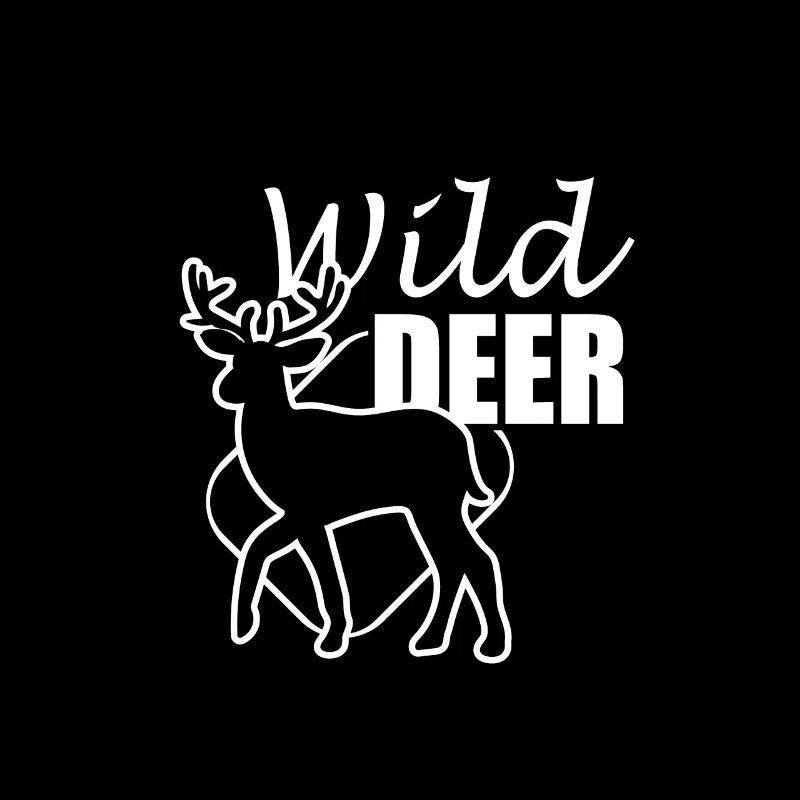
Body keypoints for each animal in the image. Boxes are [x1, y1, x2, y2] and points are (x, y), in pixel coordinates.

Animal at [180, 256, 512, 662]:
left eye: (270, 364)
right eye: (234, 358)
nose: (225, 389)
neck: (279, 438)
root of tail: (466, 445)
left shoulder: (306, 508)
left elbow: (308, 565)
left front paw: (329, 639)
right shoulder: (305, 514)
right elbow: (262, 548)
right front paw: (246, 627)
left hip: (436, 500)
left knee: (472, 559)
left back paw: (488, 644)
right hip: (433, 505)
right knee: (451, 562)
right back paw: (430, 641)